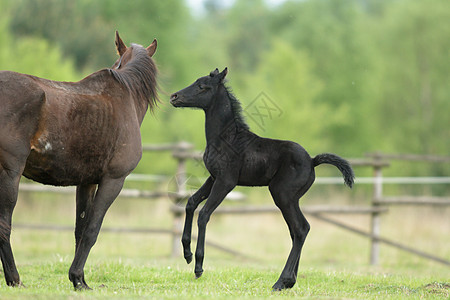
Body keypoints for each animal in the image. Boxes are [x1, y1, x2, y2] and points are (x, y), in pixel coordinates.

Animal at [0, 31, 158, 290]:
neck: (127, 98)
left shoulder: (86, 182)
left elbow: (80, 230)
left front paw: (78, 279)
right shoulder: (113, 181)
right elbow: (92, 230)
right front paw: (77, 277)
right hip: (10, 175)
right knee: (4, 226)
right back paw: (14, 279)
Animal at [171, 68, 354, 290]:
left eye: (202, 86)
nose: (174, 97)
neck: (227, 139)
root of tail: (312, 161)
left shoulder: (226, 181)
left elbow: (204, 214)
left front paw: (198, 266)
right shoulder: (213, 178)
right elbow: (191, 203)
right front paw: (187, 254)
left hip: (282, 194)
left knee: (301, 228)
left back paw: (281, 281)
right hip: (291, 198)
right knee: (296, 231)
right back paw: (290, 281)